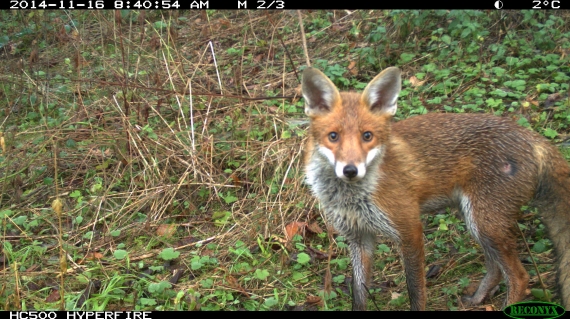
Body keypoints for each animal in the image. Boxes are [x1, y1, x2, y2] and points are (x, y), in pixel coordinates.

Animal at [302, 66, 568, 312]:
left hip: (485, 223)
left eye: (367, 136)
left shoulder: (410, 230)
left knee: (520, 277)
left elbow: (415, 290)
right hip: (477, 222)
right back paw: (477, 299)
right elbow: (359, 295)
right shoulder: (358, 237)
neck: (352, 197)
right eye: (333, 136)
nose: (350, 170)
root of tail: (532, 136)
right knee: (496, 268)